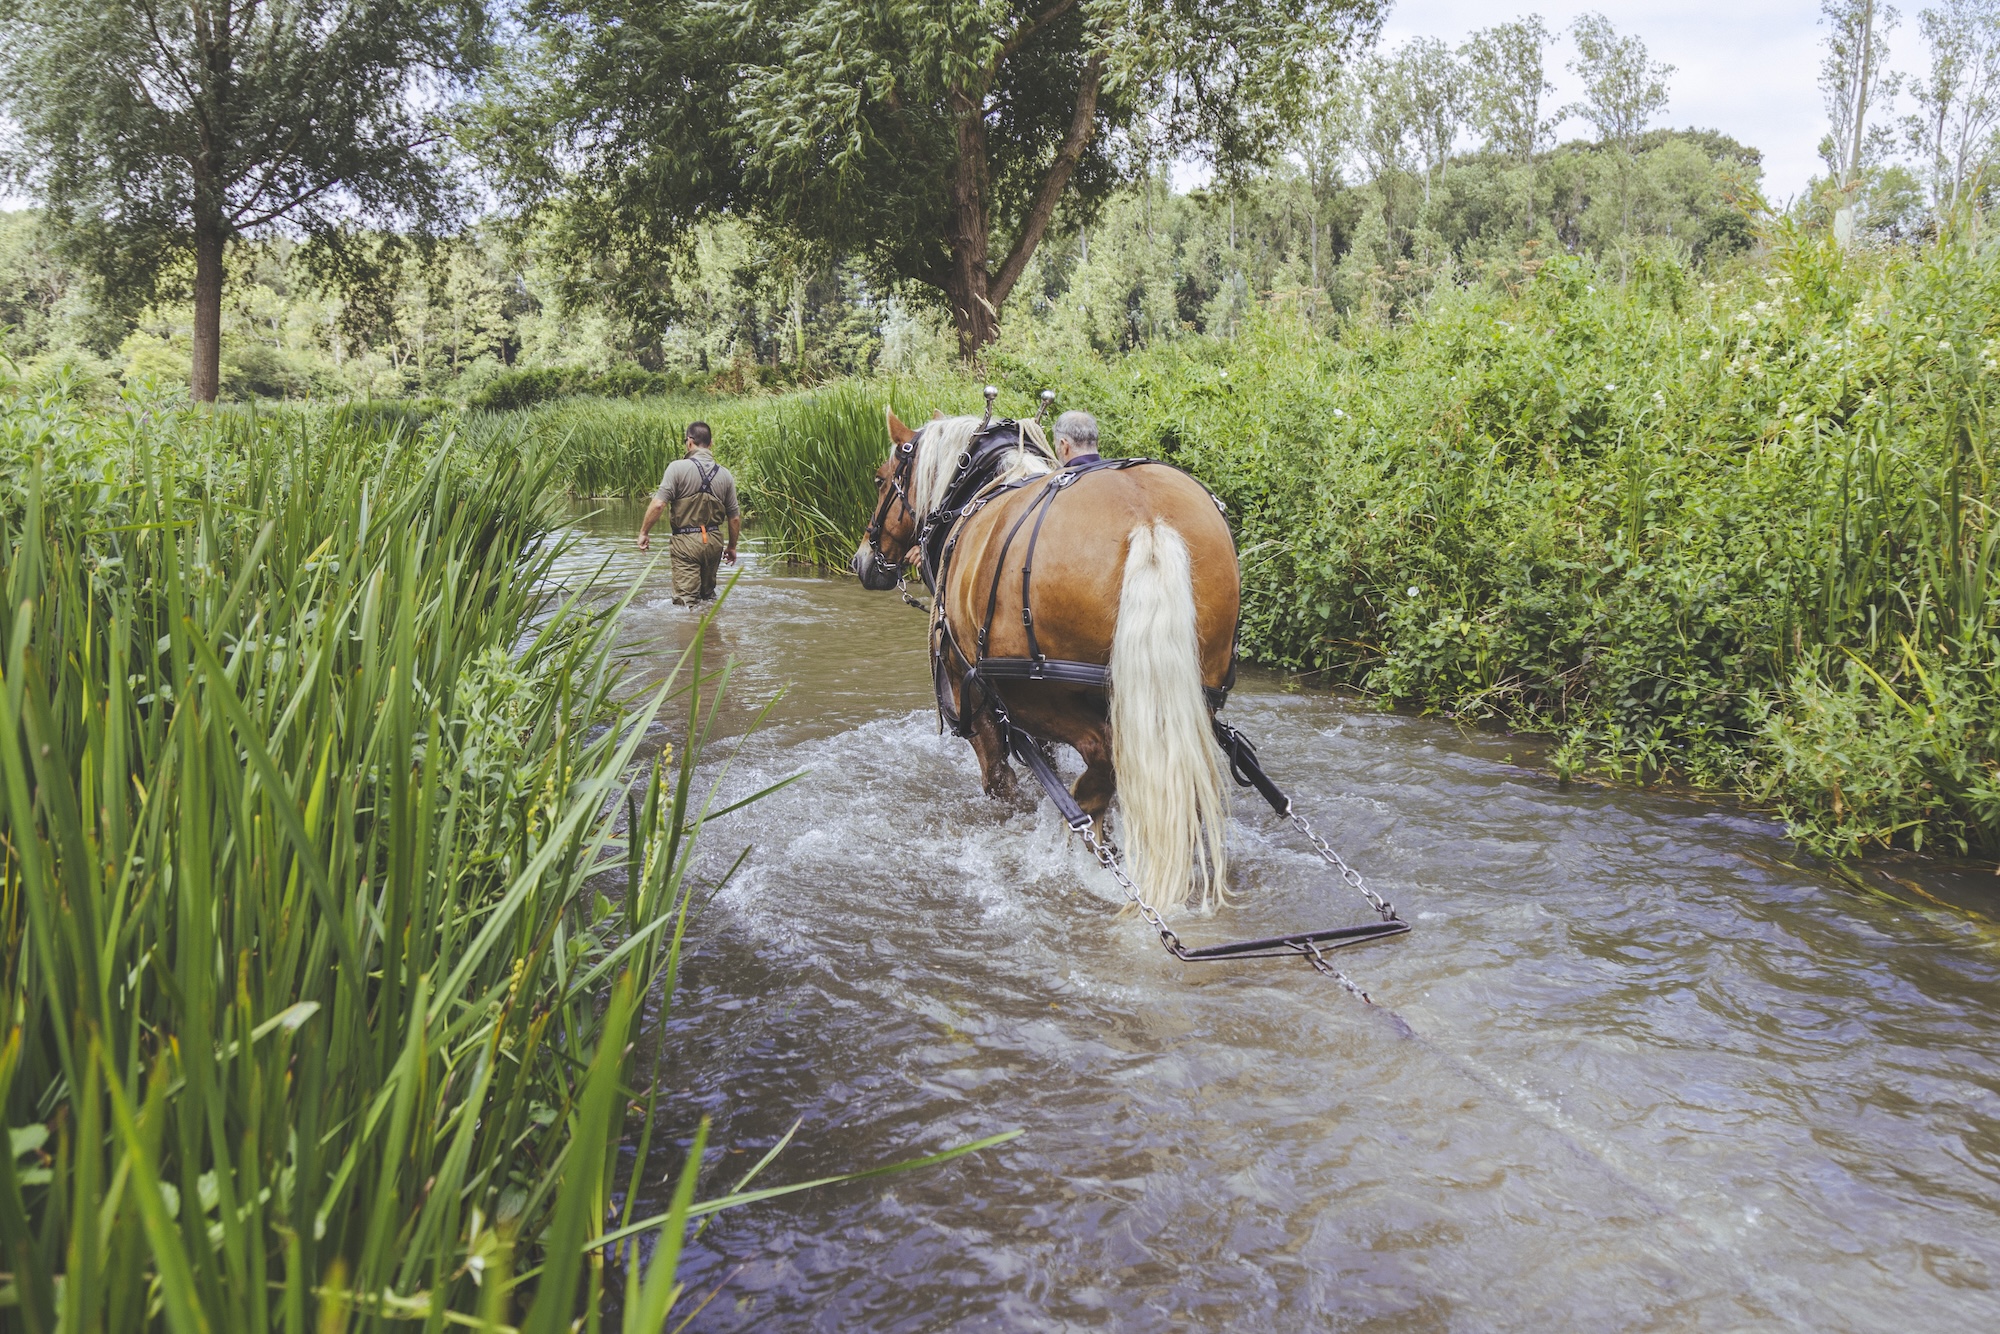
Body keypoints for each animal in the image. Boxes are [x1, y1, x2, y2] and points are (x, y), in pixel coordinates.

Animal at [851, 408, 1241, 916]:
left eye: (881, 480)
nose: (863, 561)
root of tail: (1149, 521)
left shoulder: (972, 691)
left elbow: (999, 778)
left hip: (1034, 692)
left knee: (1100, 760)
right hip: (1193, 694)